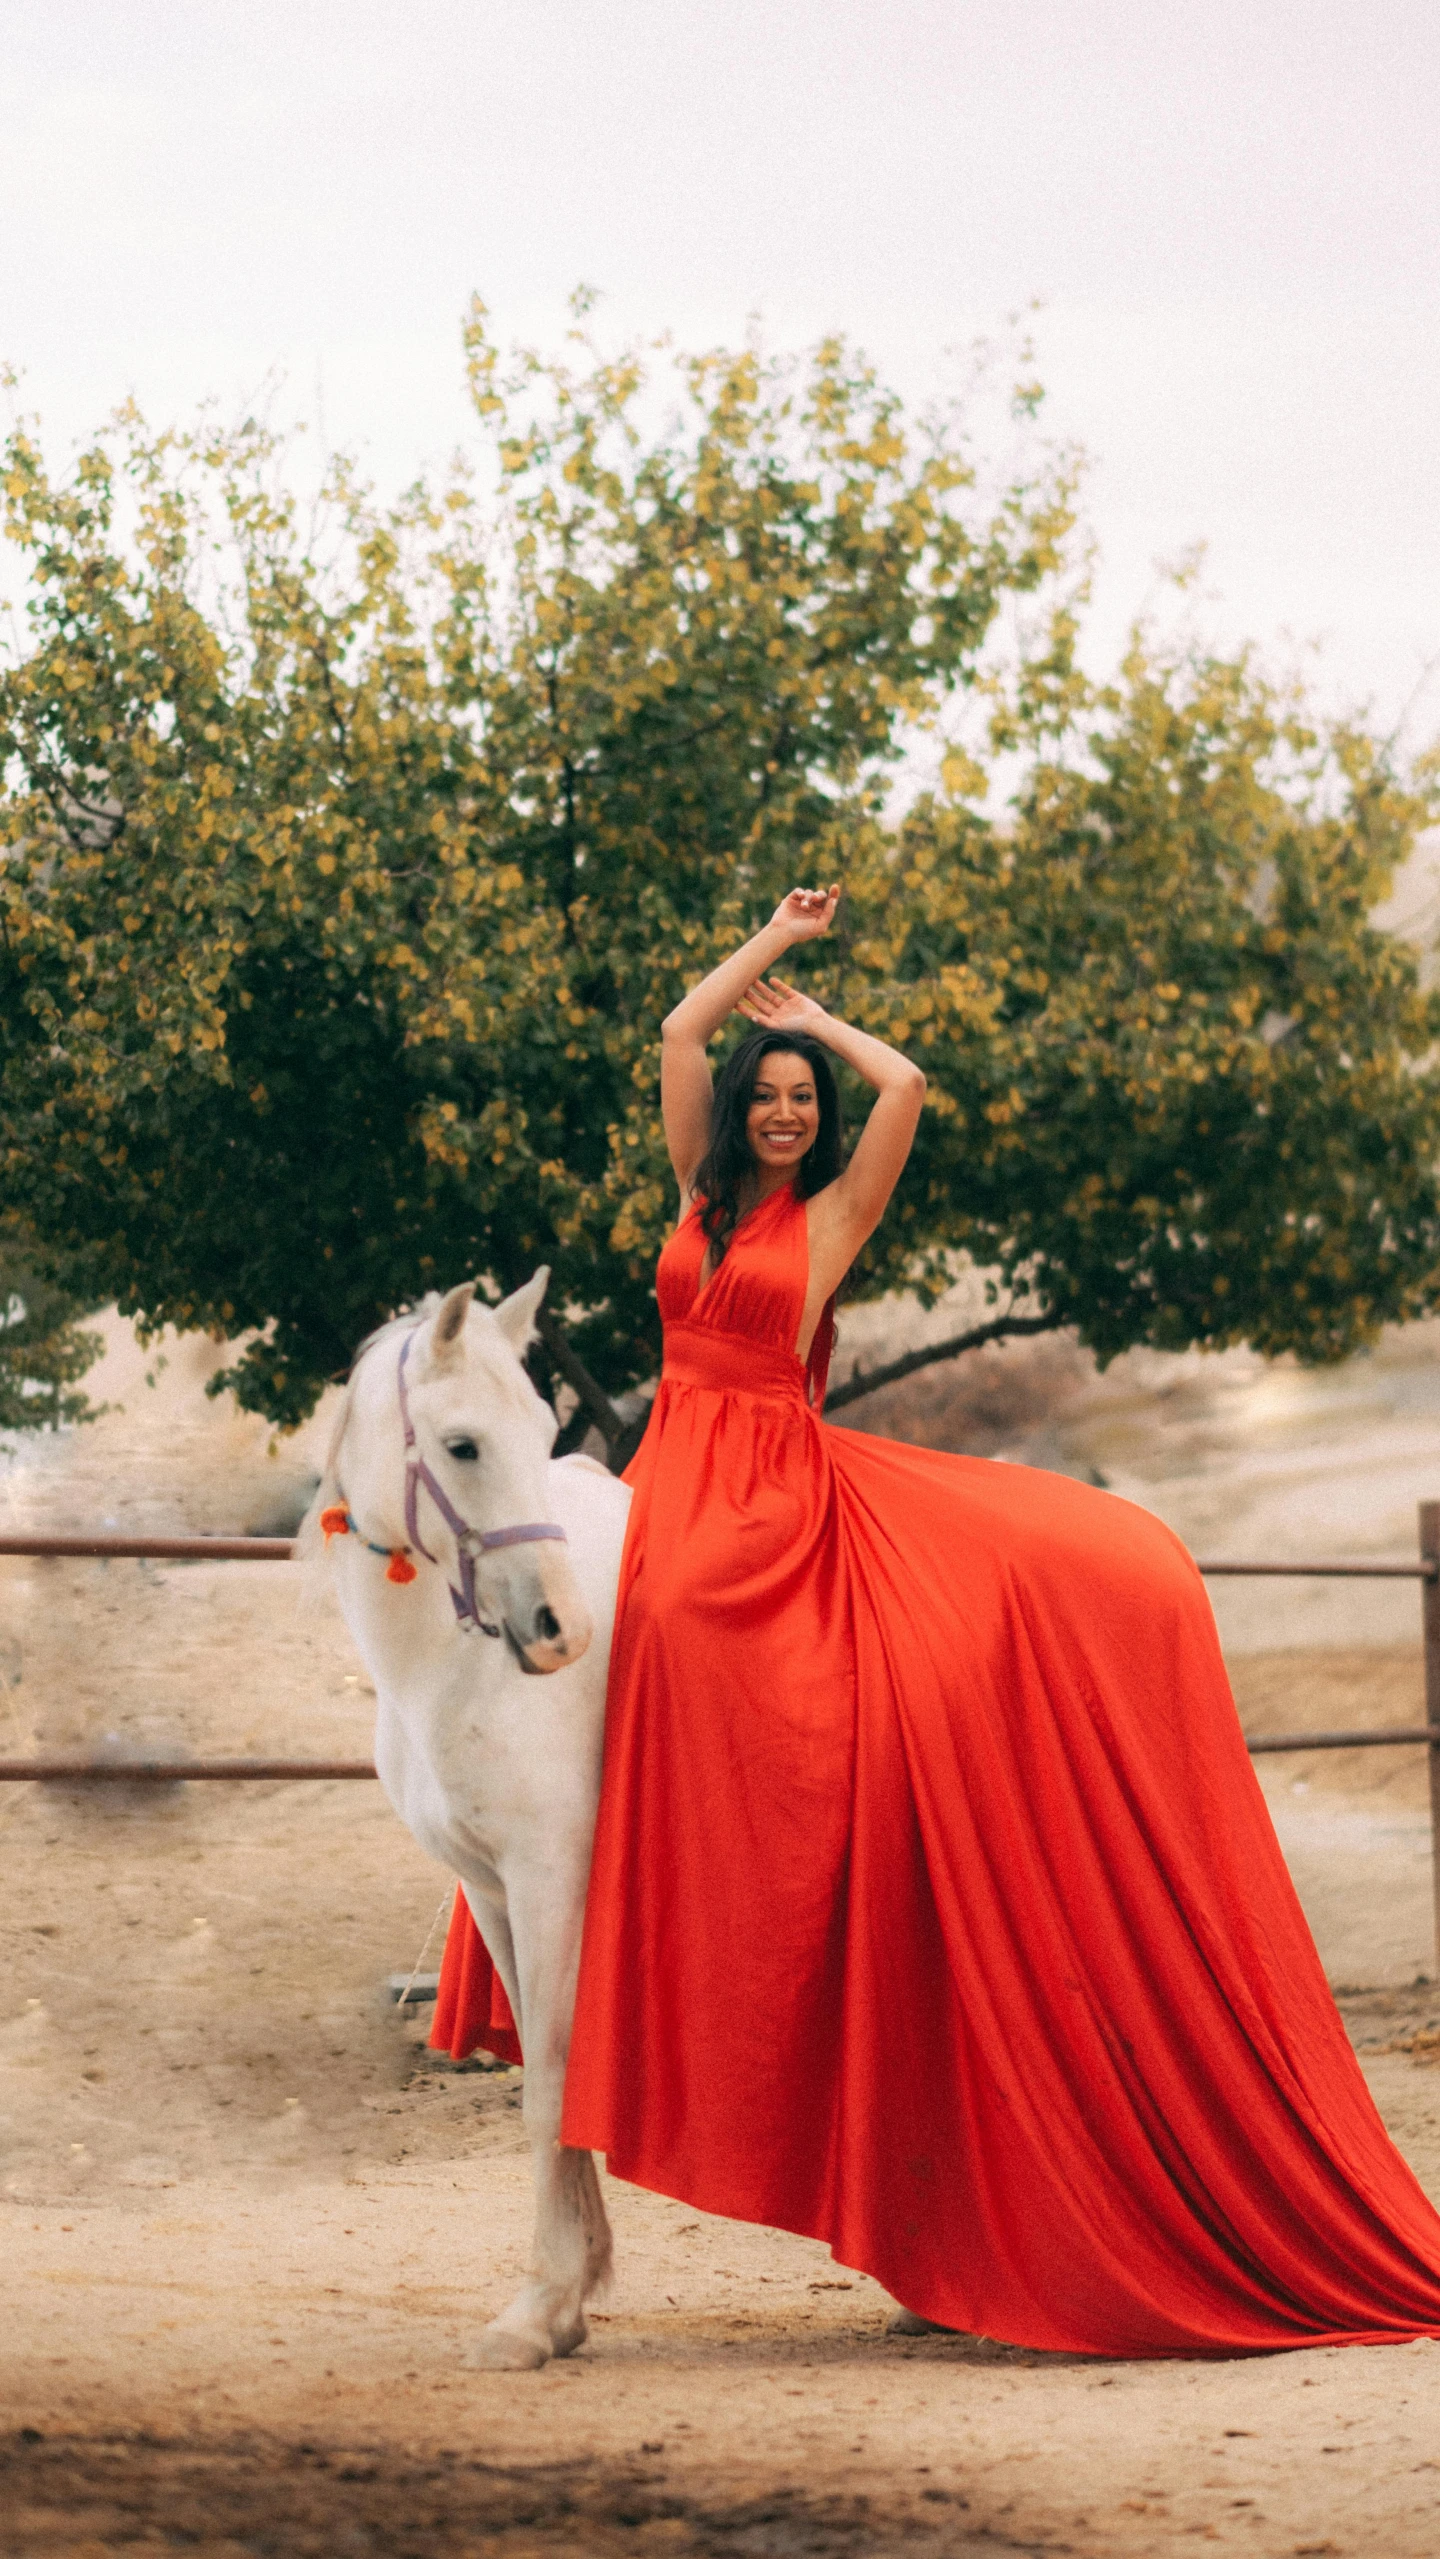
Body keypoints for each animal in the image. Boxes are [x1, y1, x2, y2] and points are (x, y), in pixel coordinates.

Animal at [309, 1269, 631, 2364]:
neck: (451, 1671)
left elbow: (552, 2086)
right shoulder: (491, 1890)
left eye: (542, 1428)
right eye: (462, 1445)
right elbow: (542, 2063)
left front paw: (537, 2311)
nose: (562, 1632)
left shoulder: (553, 1880)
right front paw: (569, 2299)